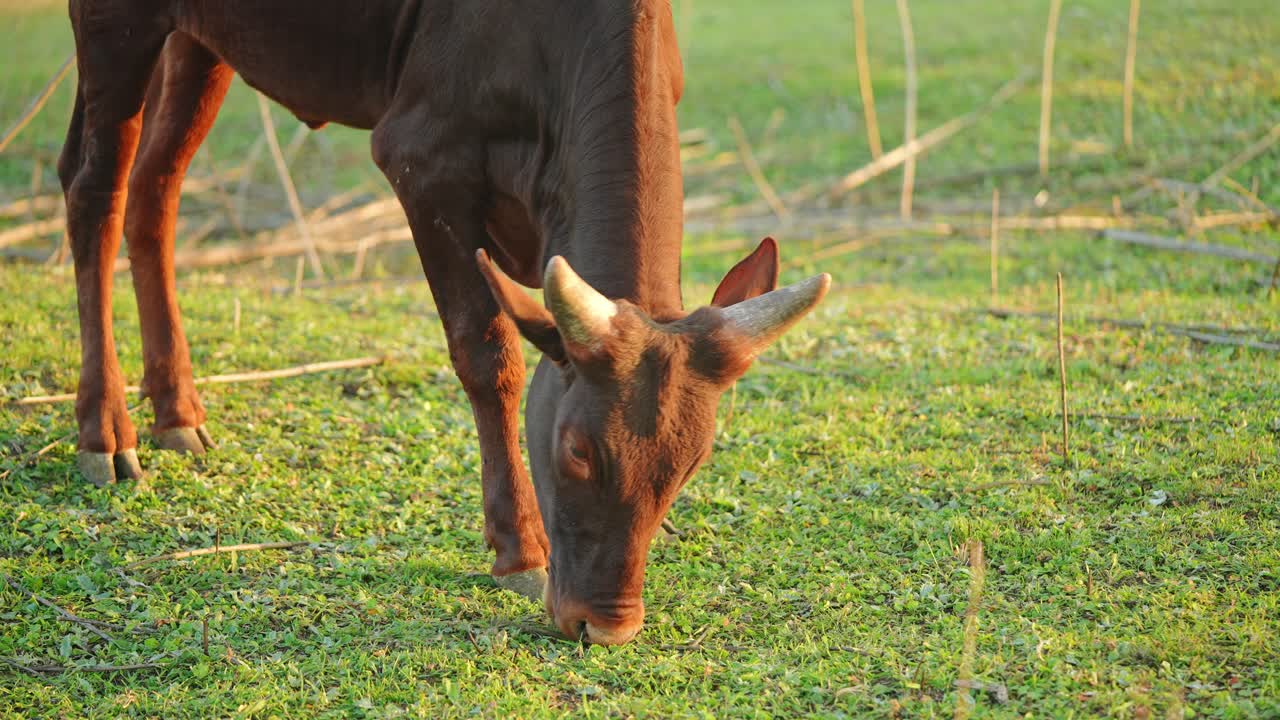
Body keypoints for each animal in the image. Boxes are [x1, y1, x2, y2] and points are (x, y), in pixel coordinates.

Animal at [56, 0, 830, 645]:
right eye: (578, 449)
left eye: (690, 464)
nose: (607, 627)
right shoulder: (422, 160)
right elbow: (488, 356)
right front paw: (519, 550)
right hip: (115, 24)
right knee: (93, 184)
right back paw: (105, 429)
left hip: (200, 43)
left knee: (155, 188)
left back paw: (175, 408)